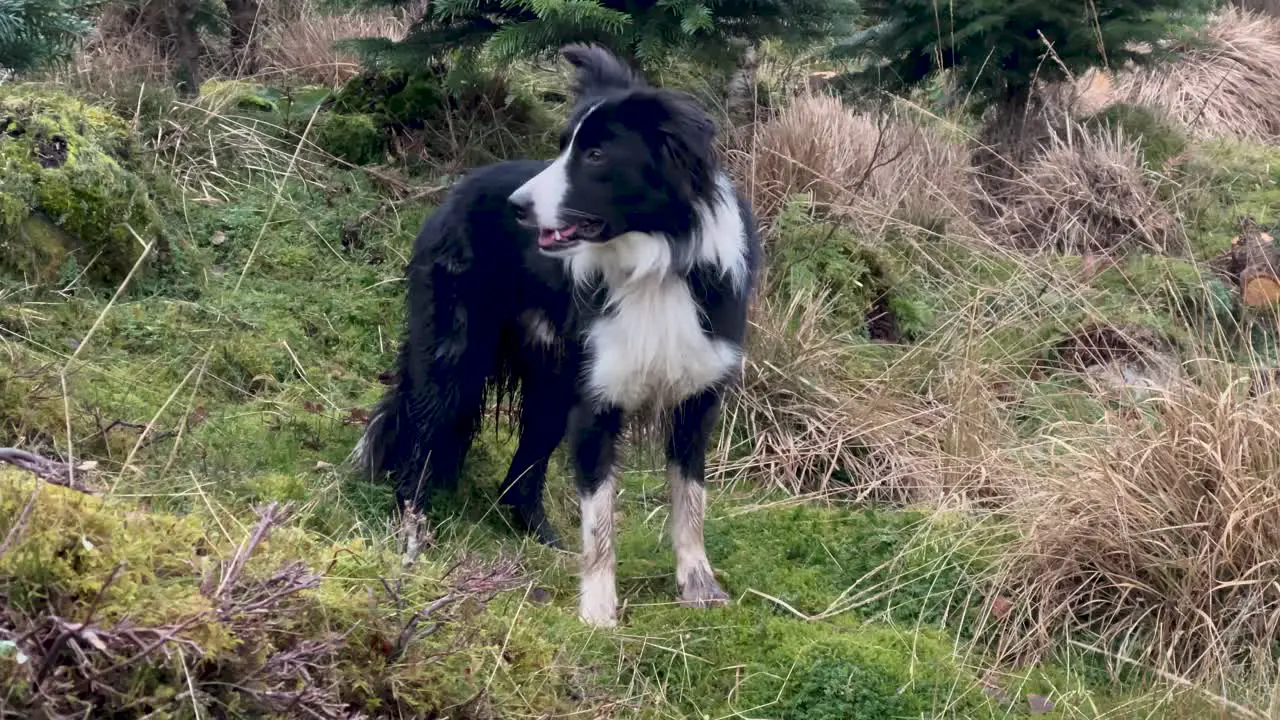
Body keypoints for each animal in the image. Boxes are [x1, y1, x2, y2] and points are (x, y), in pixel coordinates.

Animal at [355, 43, 757, 622]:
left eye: (596, 156)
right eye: (563, 147)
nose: (517, 208)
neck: (653, 265)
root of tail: (454, 193)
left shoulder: (697, 398)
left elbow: (690, 499)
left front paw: (700, 587)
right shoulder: (599, 402)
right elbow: (601, 518)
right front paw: (599, 612)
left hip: (553, 378)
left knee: (519, 473)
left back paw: (542, 539)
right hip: (455, 356)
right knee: (422, 440)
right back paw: (413, 537)